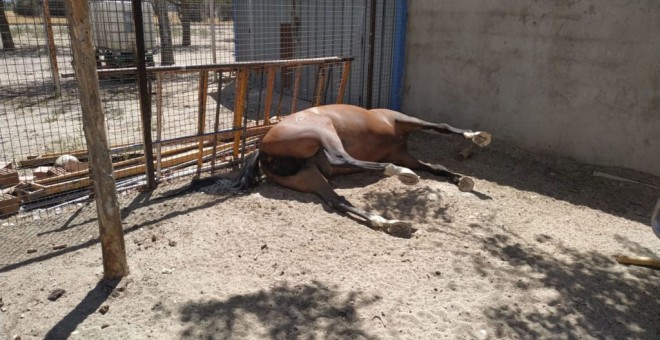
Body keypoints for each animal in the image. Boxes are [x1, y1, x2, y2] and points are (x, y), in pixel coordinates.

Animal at [180, 103, 490, 236]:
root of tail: (263, 149)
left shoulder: (405, 152)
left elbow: (435, 167)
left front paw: (462, 180)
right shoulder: (405, 121)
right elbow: (441, 126)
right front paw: (479, 137)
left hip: (310, 177)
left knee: (337, 201)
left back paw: (389, 223)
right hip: (324, 132)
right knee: (341, 159)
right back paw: (400, 177)